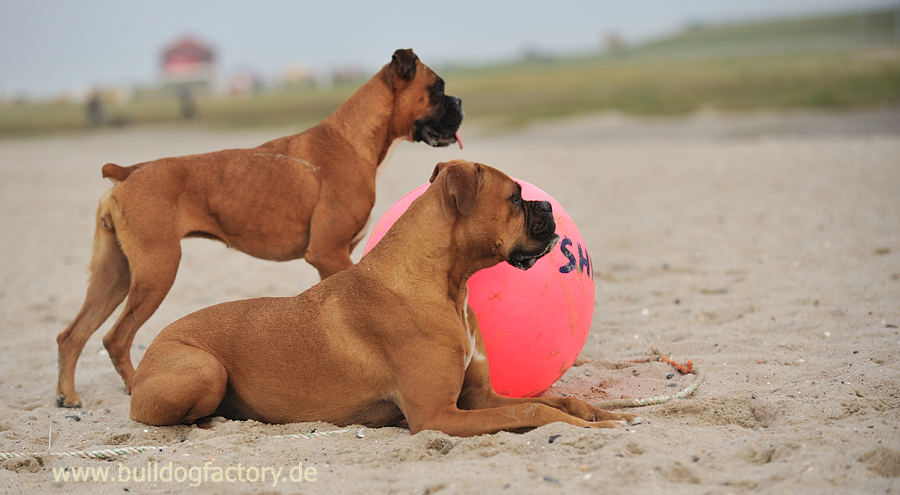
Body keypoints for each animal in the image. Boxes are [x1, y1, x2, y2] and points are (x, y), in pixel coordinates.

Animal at [56, 48, 464, 408]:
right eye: (438, 88)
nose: (459, 101)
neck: (354, 139)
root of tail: (129, 172)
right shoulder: (329, 252)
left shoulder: (330, 257)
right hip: (157, 271)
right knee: (117, 337)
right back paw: (130, 387)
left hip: (114, 275)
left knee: (73, 333)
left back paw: (68, 396)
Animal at [128, 161, 648, 436]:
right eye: (515, 199)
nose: (546, 206)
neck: (446, 284)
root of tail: (149, 349)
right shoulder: (439, 416)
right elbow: (535, 409)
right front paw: (591, 427)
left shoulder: (476, 397)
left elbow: (560, 400)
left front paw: (602, 414)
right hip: (204, 368)